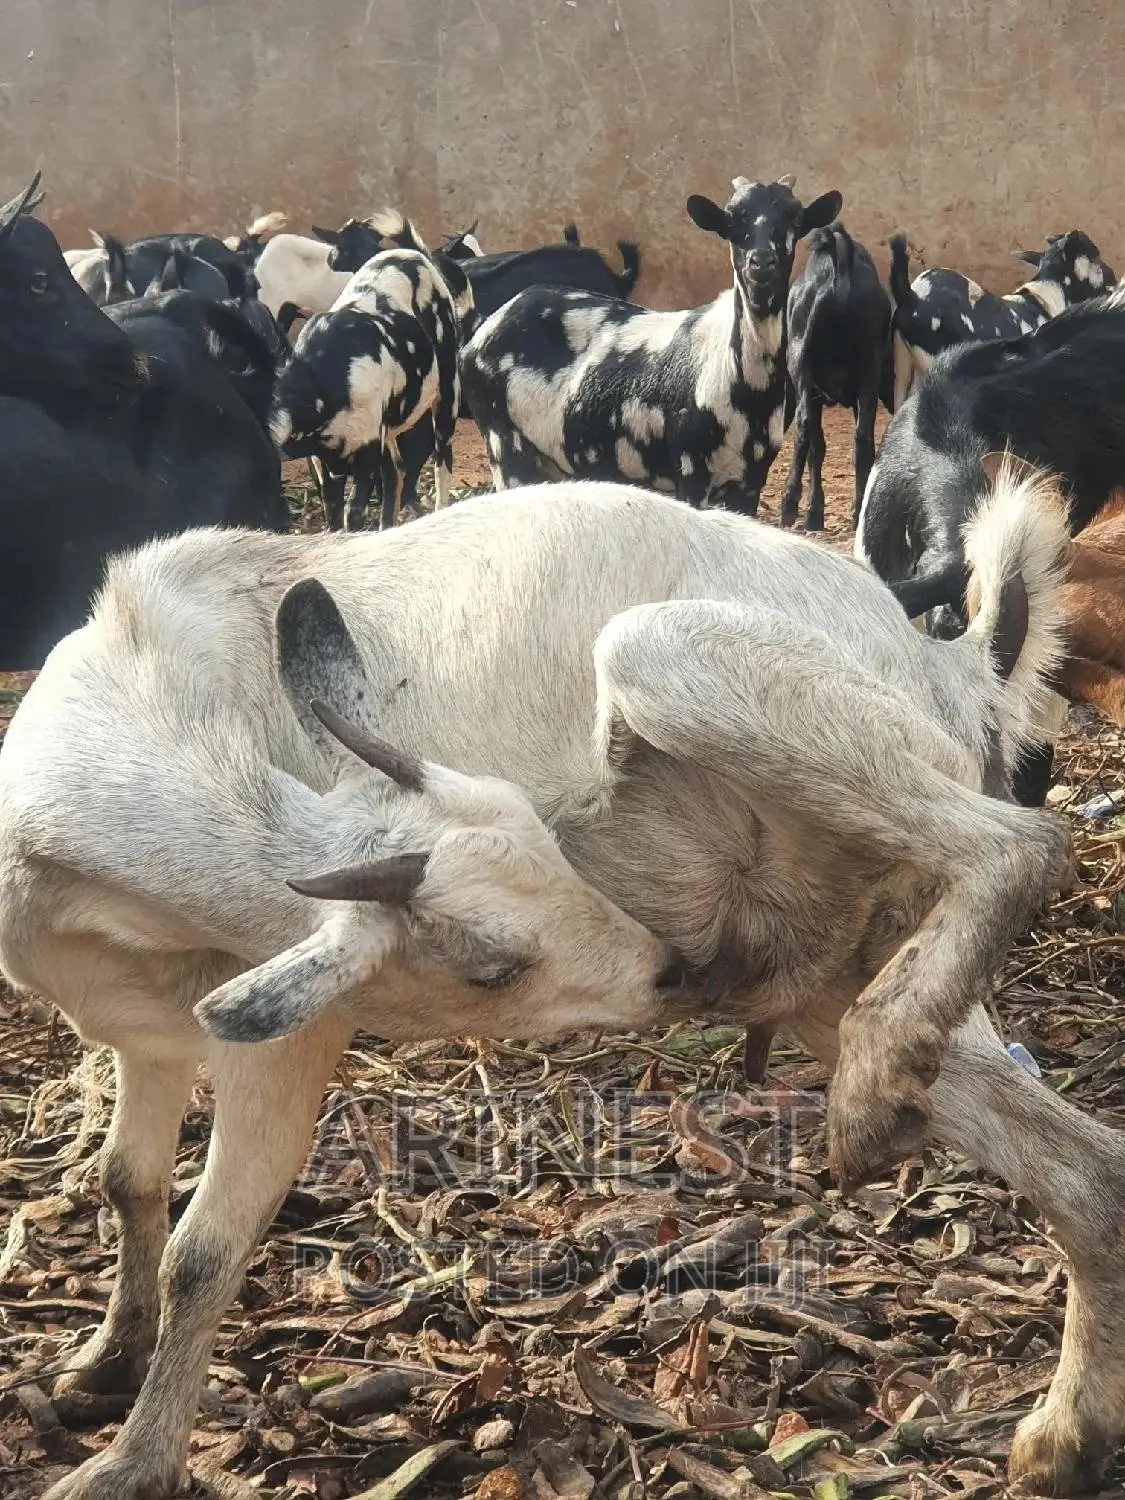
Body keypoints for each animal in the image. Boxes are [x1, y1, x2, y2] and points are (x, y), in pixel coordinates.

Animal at [4, 468, 1111, 1500]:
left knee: (1022, 840)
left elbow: (205, 1250)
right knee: (1084, 1166)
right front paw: (105, 1359)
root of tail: (947, 664)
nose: (669, 973)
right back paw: (1063, 1436)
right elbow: (125, 1180)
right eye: (492, 965)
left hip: (678, 660)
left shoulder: (283, 1028)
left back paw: (879, 1085)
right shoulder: (144, 1036)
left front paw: (129, 1464)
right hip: (829, 968)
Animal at [270, 248, 470, 530]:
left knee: (442, 463)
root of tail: (414, 254)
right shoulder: (327, 461)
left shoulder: (367, 451)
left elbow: (353, 513)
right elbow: (333, 514)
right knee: (396, 472)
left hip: (447, 397)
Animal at [460, 175, 840, 512]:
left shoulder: (750, 482)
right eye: (733, 220)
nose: (760, 262)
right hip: (505, 448)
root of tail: (487, 326)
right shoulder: (692, 473)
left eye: (794, 218)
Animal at [781, 222, 892, 530]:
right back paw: (855, 513)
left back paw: (791, 505)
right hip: (867, 377)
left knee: (804, 430)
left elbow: (815, 446)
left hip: (802, 371)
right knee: (862, 439)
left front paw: (812, 511)